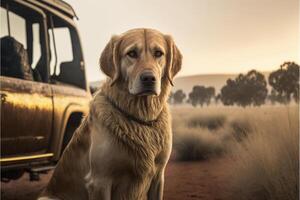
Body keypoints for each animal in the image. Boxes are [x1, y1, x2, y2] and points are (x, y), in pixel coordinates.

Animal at [38, 28, 182, 200]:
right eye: (132, 53)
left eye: (158, 53)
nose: (149, 79)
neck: (140, 117)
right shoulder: (100, 181)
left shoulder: (158, 177)